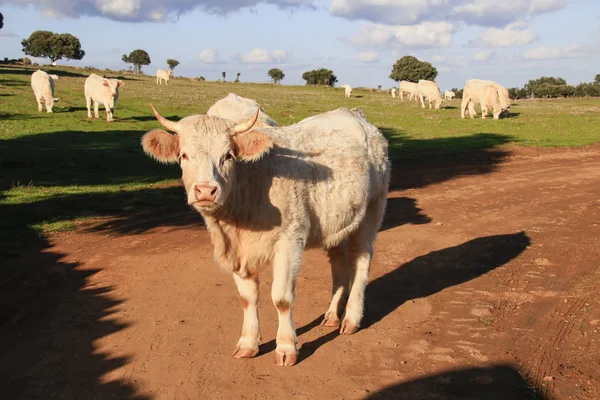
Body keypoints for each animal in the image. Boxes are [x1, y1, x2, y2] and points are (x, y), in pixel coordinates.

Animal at [143, 105, 392, 366]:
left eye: (228, 156)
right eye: (184, 155)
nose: (205, 191)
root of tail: (354, 114)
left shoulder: (290, 241)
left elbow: (281, 298)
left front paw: (286, 347)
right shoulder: (238, 252)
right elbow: (248, 298)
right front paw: (248, 343)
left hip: (371, 213)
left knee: (361, 260)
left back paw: (351, 318)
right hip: (336, 224)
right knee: (338, 264)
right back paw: (333, 315)